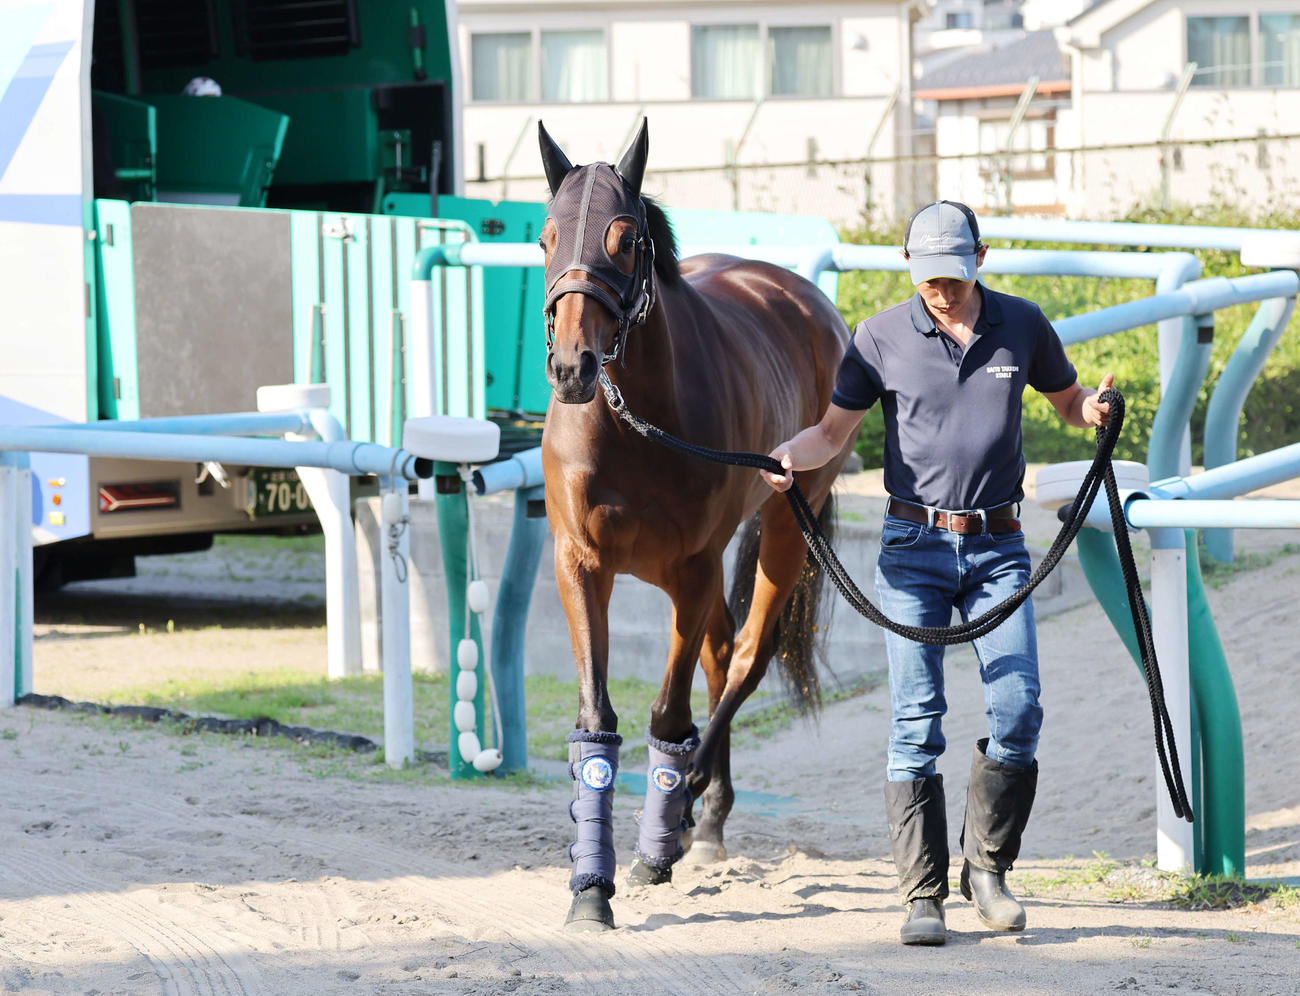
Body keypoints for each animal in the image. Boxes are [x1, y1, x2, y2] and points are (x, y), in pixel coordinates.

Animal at [538, 118, 855, 931]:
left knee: (745, 657)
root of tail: (802, 295)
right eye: (546, 237)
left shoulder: (690, 570)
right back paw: (703, 818)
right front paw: (591, 887)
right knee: (720, 654)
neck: (636, 426)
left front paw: (655, 847)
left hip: (784, 524)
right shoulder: (579, 566)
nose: (573, 367)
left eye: (625, 240)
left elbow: (667, 712)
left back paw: (688, 817)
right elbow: (598, 716)